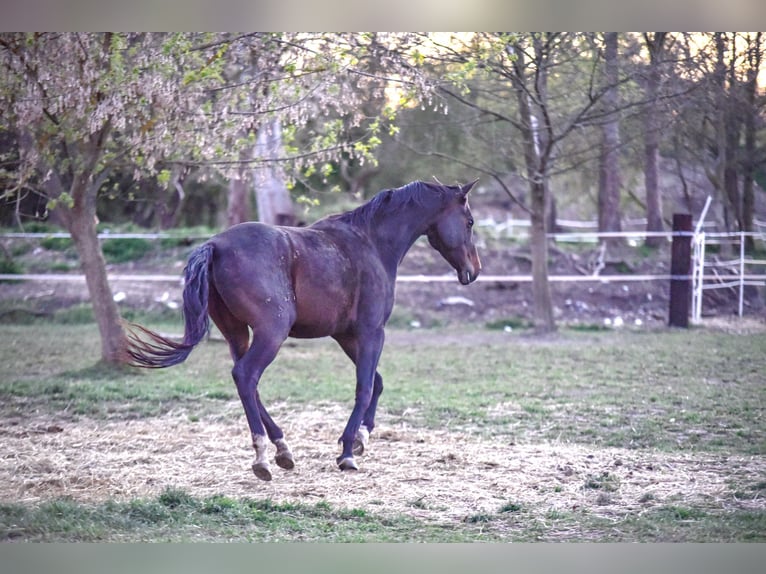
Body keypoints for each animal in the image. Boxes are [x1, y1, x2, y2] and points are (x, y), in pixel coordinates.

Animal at [125, 179, 481, 480]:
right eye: (470, 222)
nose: (474, 271)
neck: (371, 242)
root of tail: (215, 245)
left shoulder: (346, 336)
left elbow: (377, 384)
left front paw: (361, 438)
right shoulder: (371, 331)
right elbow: (365, 387)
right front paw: (348, 451)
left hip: (237, 333)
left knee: (246, 381)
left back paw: (283, 450)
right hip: (271, 333)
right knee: (246, 376)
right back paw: (262, 457)